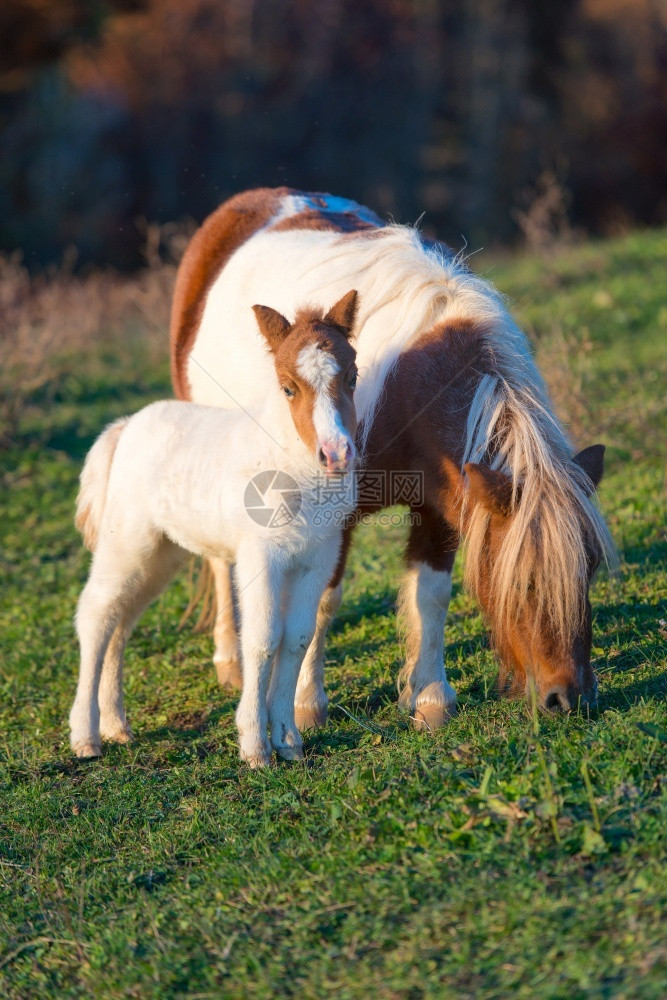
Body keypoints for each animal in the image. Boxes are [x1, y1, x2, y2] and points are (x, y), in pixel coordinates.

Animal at [70, 290, 360, 764]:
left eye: (352, 377)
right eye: (288, 387)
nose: (335, 454)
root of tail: (127, 425)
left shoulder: (316, 559)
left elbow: (297, 638)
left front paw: (289, 740)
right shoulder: (260, 556)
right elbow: (262, 638)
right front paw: (255, 746)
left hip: (159, 555)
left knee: (121, 622)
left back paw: (116, 725)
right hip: (126, 541)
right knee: (96, 614)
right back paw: (85, 735)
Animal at [168, 188, 616, 732]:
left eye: (590, 568)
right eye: (527, 582)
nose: (570, 699)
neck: (408, 388)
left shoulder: (443, 503)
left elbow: (431, 594)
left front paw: (430, 697)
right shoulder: (336, 516)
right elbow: (322, 602)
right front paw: (306, 704)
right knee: (219, 560)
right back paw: (231, 660)